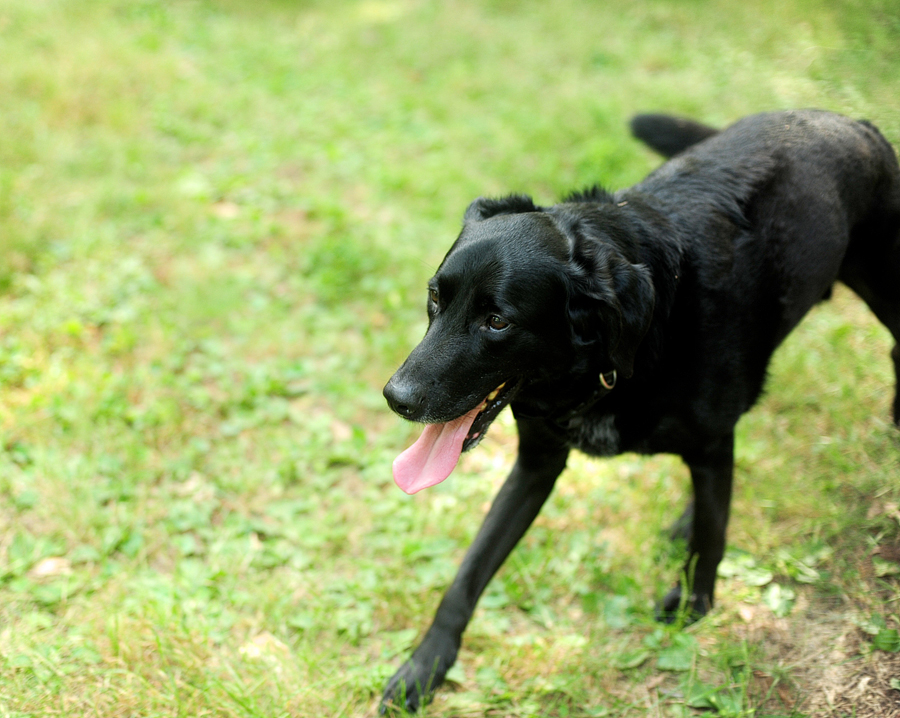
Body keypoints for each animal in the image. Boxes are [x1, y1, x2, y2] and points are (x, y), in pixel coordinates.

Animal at [382, 109, 900, 712]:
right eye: (434, 298)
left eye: (498, 321)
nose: (396, 397)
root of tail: (847, 120)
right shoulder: (536, 465)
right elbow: (467, 573)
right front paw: (424, 668)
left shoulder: (709, 446)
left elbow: (710, 541)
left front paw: (694, 608)